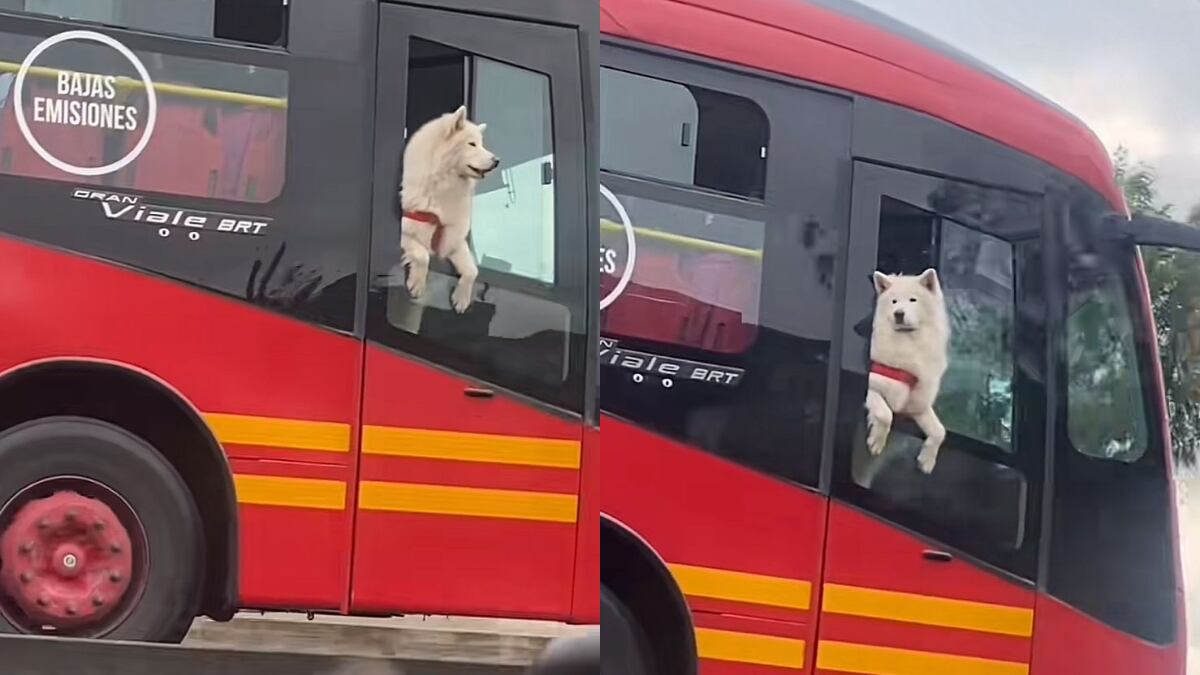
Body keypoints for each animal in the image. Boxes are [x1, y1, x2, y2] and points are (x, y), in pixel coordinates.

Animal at [400, 105, 499, 312]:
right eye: (472, 144)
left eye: (481, 144)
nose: (497, 161)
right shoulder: (405, 231)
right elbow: (422, 255)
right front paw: (417, 283)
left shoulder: (452, 239)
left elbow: (472, 270)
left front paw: (461, 298)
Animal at [868, 267, 950, 473]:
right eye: (894, 301)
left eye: (913, 300)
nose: (898, 313)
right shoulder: (872, 387)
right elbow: (885, 414)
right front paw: (876, 441)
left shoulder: (917, 405)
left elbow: (940, 431)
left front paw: (927, 460)